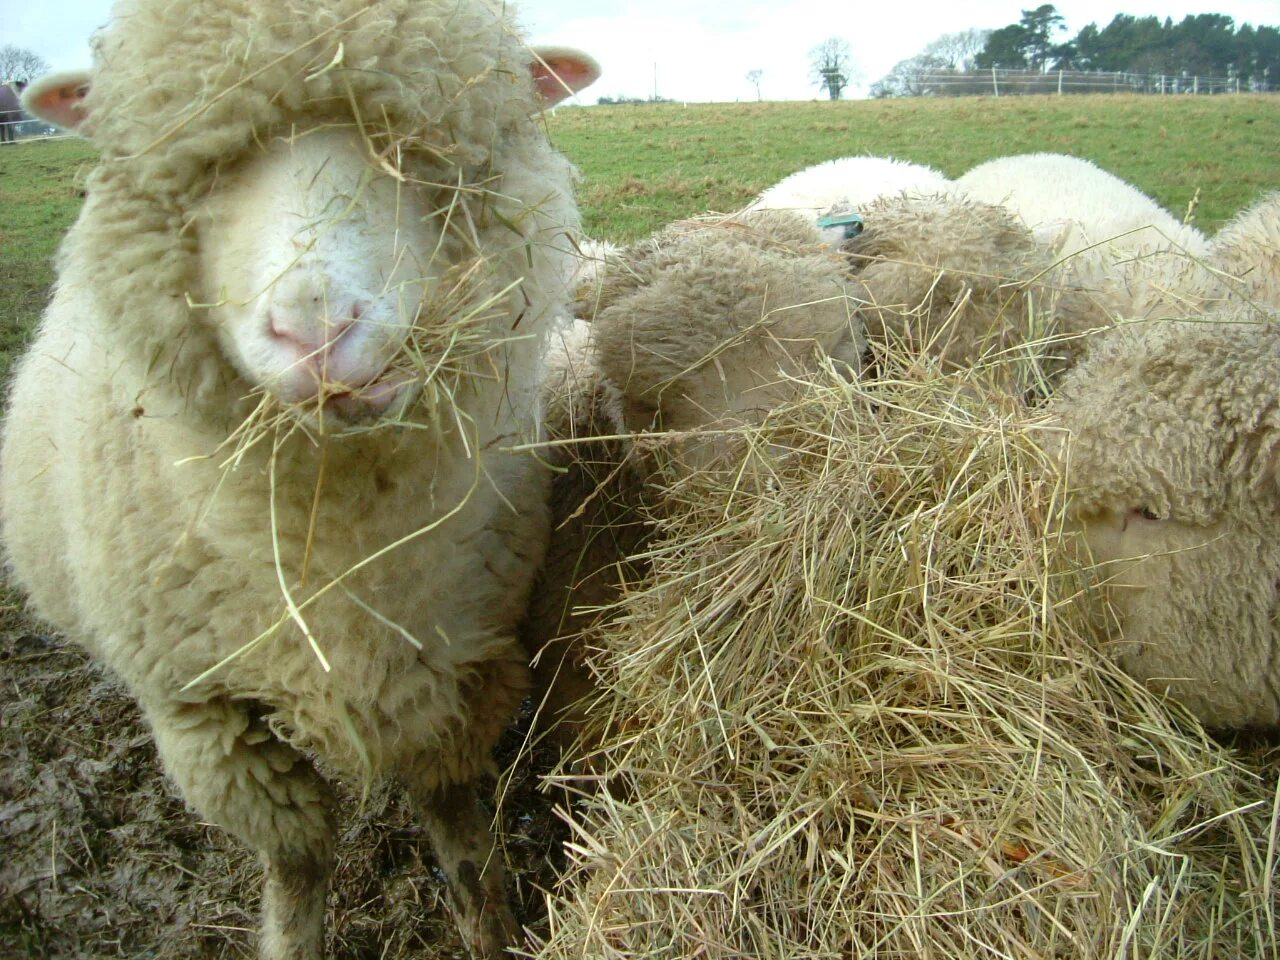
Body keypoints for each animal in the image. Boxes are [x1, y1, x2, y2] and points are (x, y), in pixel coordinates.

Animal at [2, 3, 599, 957]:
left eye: (414, 149)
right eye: (202, 166)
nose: (317, 335)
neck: (336, 548)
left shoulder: (466, 662)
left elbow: (456, 820)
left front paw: (491, 928)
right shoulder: (198, 709)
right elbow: (297, 857)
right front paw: (292, 936)